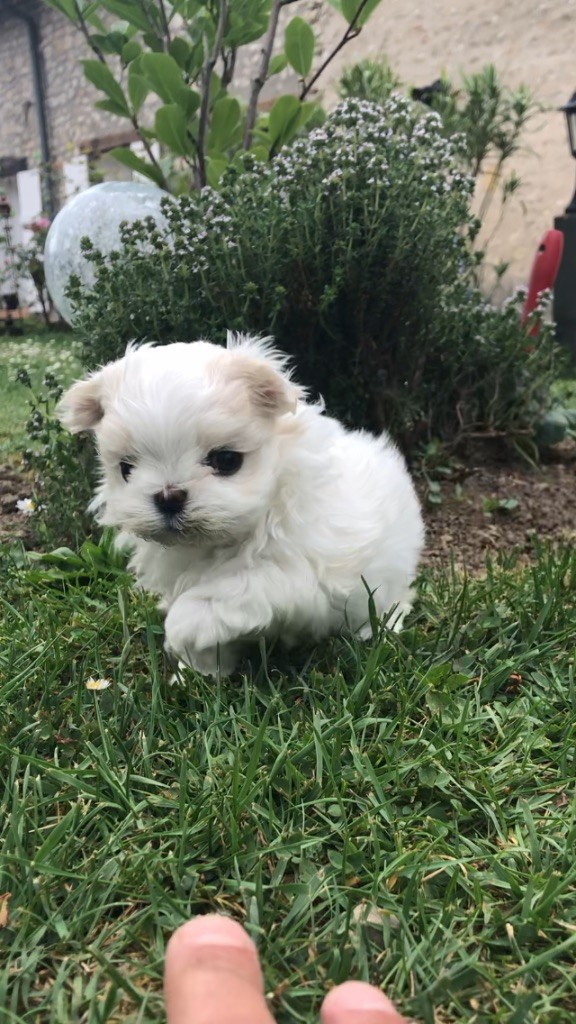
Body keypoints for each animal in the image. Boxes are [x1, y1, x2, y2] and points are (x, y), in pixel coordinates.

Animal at [59, 331, 422, 675]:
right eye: (125, 468)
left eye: (226, 460)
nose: (168, 496)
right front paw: (200, 672)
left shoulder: (300, 575)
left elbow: (239, 585)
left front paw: (182, 624)